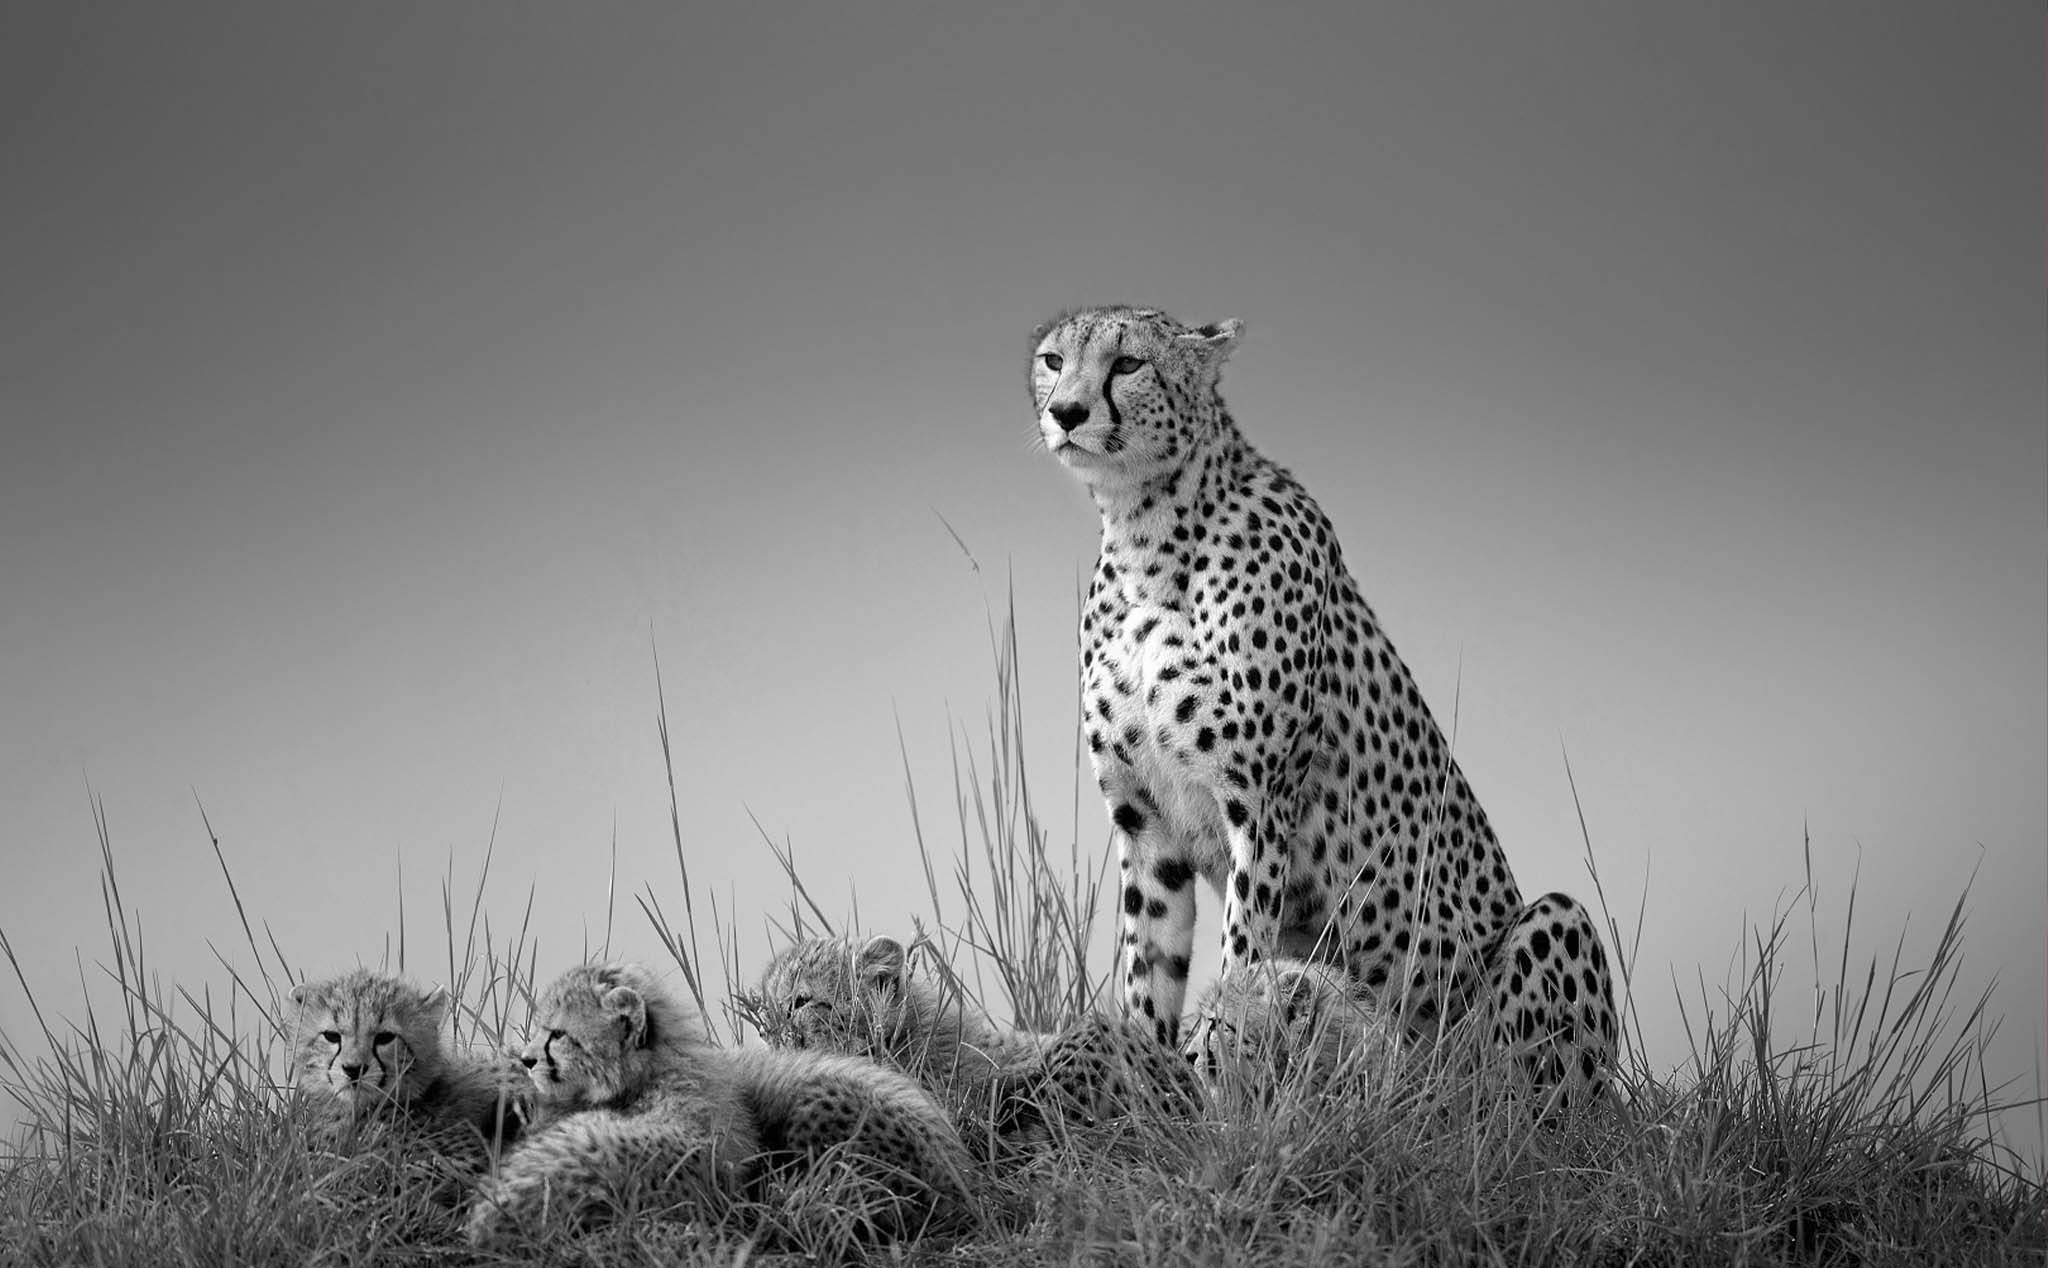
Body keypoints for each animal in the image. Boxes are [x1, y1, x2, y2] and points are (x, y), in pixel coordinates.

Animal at [1032, 307, 1622, 1114]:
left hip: (1551, 933)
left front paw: (1219, 1079)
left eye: (1127, 364)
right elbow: (1147, 971)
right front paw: (1142, 1080)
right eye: (1052, 360)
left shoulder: (1259, 804)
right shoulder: (1145, 820)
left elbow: (1244, 957)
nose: (1066, 411)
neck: (1145, 536)